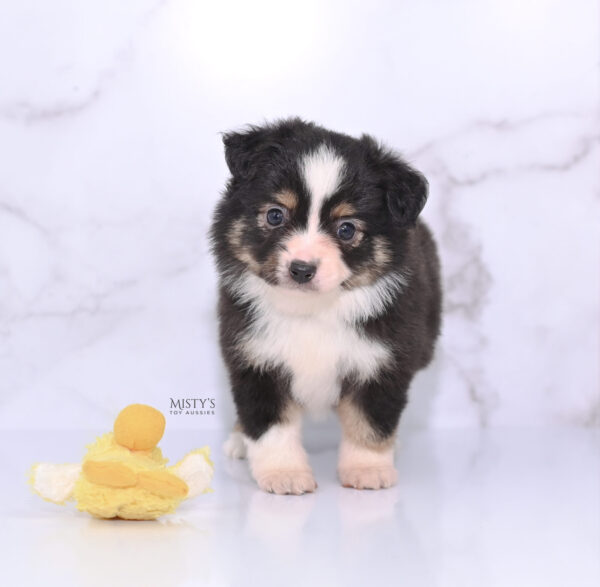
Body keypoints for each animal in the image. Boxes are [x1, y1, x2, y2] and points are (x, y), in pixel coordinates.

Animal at [210, 117, 440, 494]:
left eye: (346, 229)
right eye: (275, 215)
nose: (301, 269)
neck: (313, 310)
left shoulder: (382, 361)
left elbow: (370, 421)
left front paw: (367, 469)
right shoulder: (254, 358)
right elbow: (270, 424)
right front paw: (284, 474)